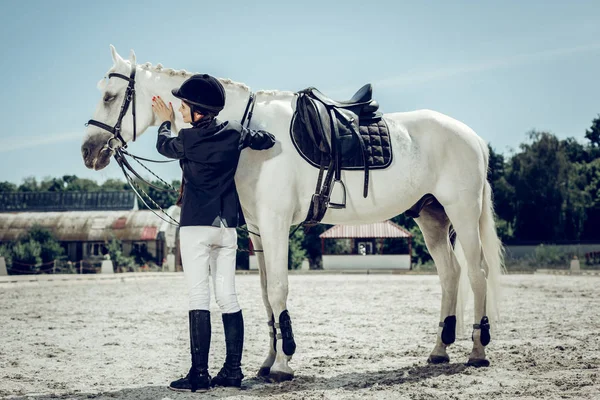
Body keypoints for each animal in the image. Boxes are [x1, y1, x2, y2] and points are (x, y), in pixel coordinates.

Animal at [81, 45, 502, 382]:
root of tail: (473, 137)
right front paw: (268, 361)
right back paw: (440, 349)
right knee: (451, 276)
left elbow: (279, 289)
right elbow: (267, 295)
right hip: (431, 217)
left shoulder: (275, 224)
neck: (245, 131)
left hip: (462, 213)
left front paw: (284, 365)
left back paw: (477, 351)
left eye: (111, 96)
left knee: (477, 274)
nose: (88, 151)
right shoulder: (256, 229)